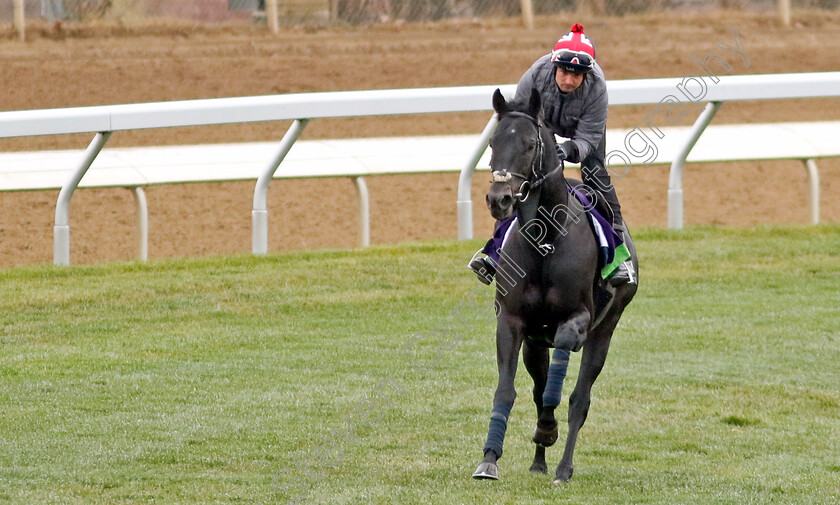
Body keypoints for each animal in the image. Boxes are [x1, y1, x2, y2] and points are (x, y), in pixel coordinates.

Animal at [472, 88, 636, 482]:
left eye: (530, 144)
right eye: (492, 143)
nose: (499, 198)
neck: (544, 240)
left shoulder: (578, 319)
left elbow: (561, 384)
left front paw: (548, 431)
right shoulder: (513, 321)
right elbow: (508, 390)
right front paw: (489, 458)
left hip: (605, 330)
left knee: (579, 399)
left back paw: (563, 467)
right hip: (535, 343)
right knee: (538, 388)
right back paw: (539, 462)